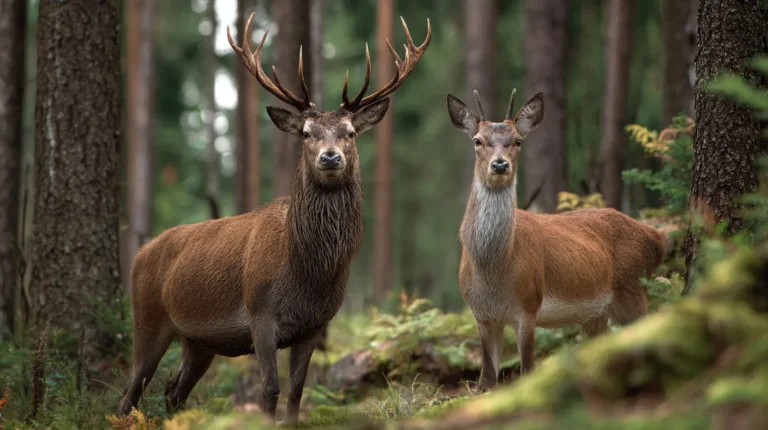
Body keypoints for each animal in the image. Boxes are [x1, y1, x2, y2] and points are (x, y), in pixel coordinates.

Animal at [118, 13, 431, 424]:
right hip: (147, 317)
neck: (309, 272)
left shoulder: (316, 325)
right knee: (130, 391)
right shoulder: (260, 315)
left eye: (350, 133)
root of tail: (140, 253)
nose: (330, 156)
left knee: (173, 390)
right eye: (307, 133)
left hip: (199, 341)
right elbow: (270, 389)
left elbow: (296, 391)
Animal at [446, 89, 664, 390]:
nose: (500, 164)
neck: (493, 271)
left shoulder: (528, 306)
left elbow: (527, 370)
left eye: (518, 140)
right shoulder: (482, 315)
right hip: (597, 313)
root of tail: (656, 238)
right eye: (477, 140)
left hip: (634, 289)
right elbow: (487, 380)